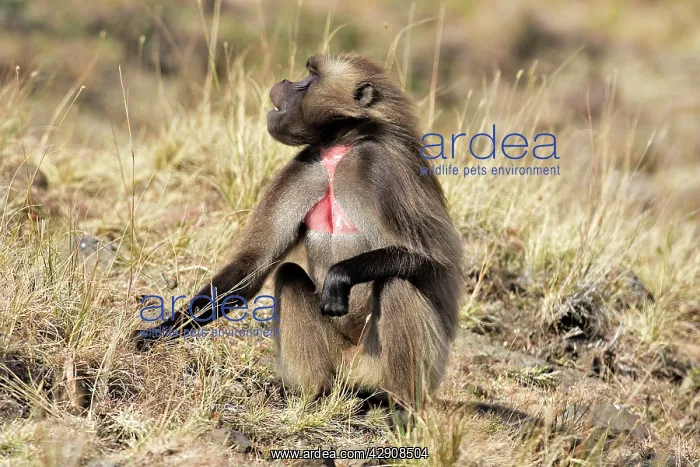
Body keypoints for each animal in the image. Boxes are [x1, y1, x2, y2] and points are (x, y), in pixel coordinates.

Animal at [133, 53, 463, 406]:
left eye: (310, 76)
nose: (284, 83)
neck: (340, 149)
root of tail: (355, 374)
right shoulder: (306, 166)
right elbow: (253, 264)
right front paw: (160, 331)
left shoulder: (385, 169)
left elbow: (435, 259)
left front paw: (341, 276)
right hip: (338, 361)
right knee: (289, 275)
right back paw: (311, 394)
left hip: (409, 366)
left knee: (396, 282)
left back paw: (399, 405)